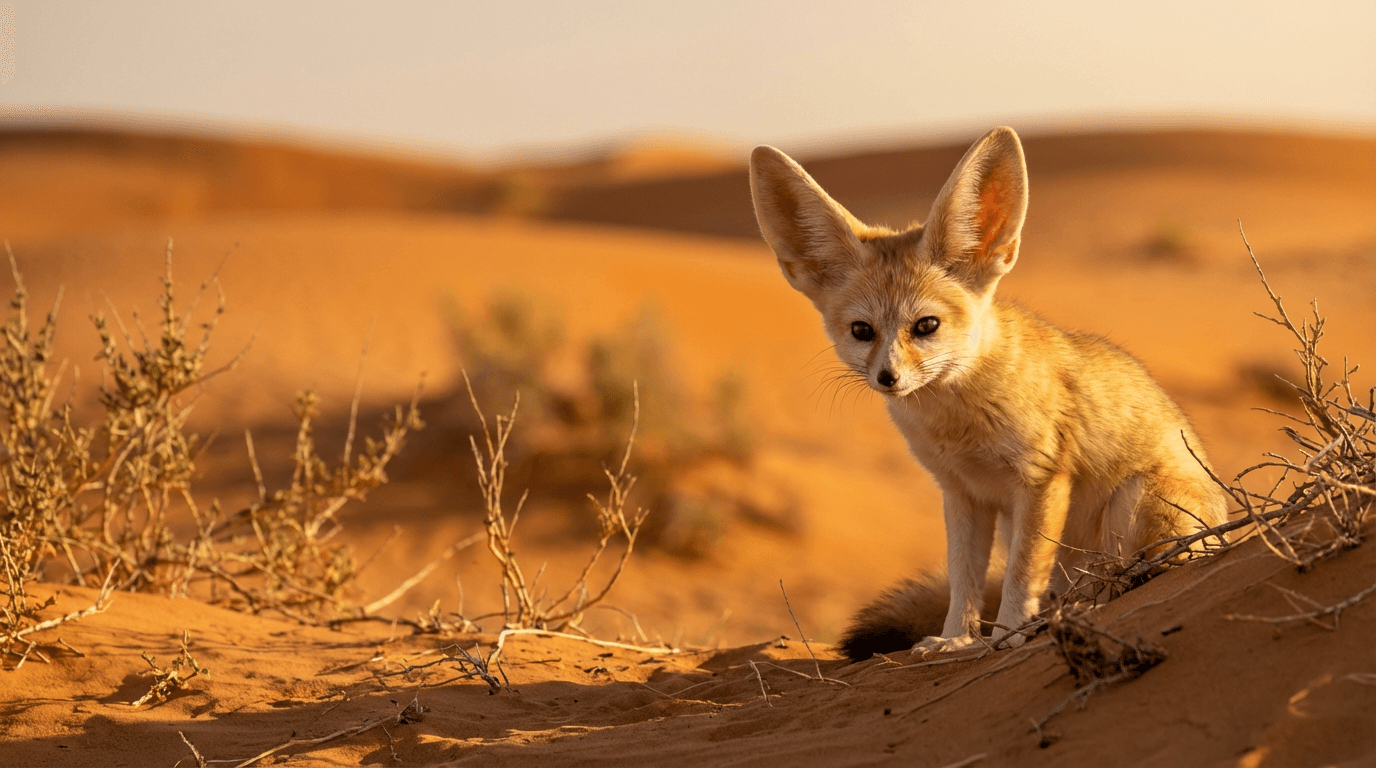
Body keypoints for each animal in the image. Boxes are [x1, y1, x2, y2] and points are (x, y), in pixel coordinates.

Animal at [748, 127, 1228, 661]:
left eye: (926, 326)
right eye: (861, 331)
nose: (888, 378)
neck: (958, 424)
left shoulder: (1041, 481)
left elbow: (1021, 575)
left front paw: (1011, 634)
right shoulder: (964, 495)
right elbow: (964, 581)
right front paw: (956, 638)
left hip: (1132, 499)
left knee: (1128, 574)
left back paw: (1089, 603)